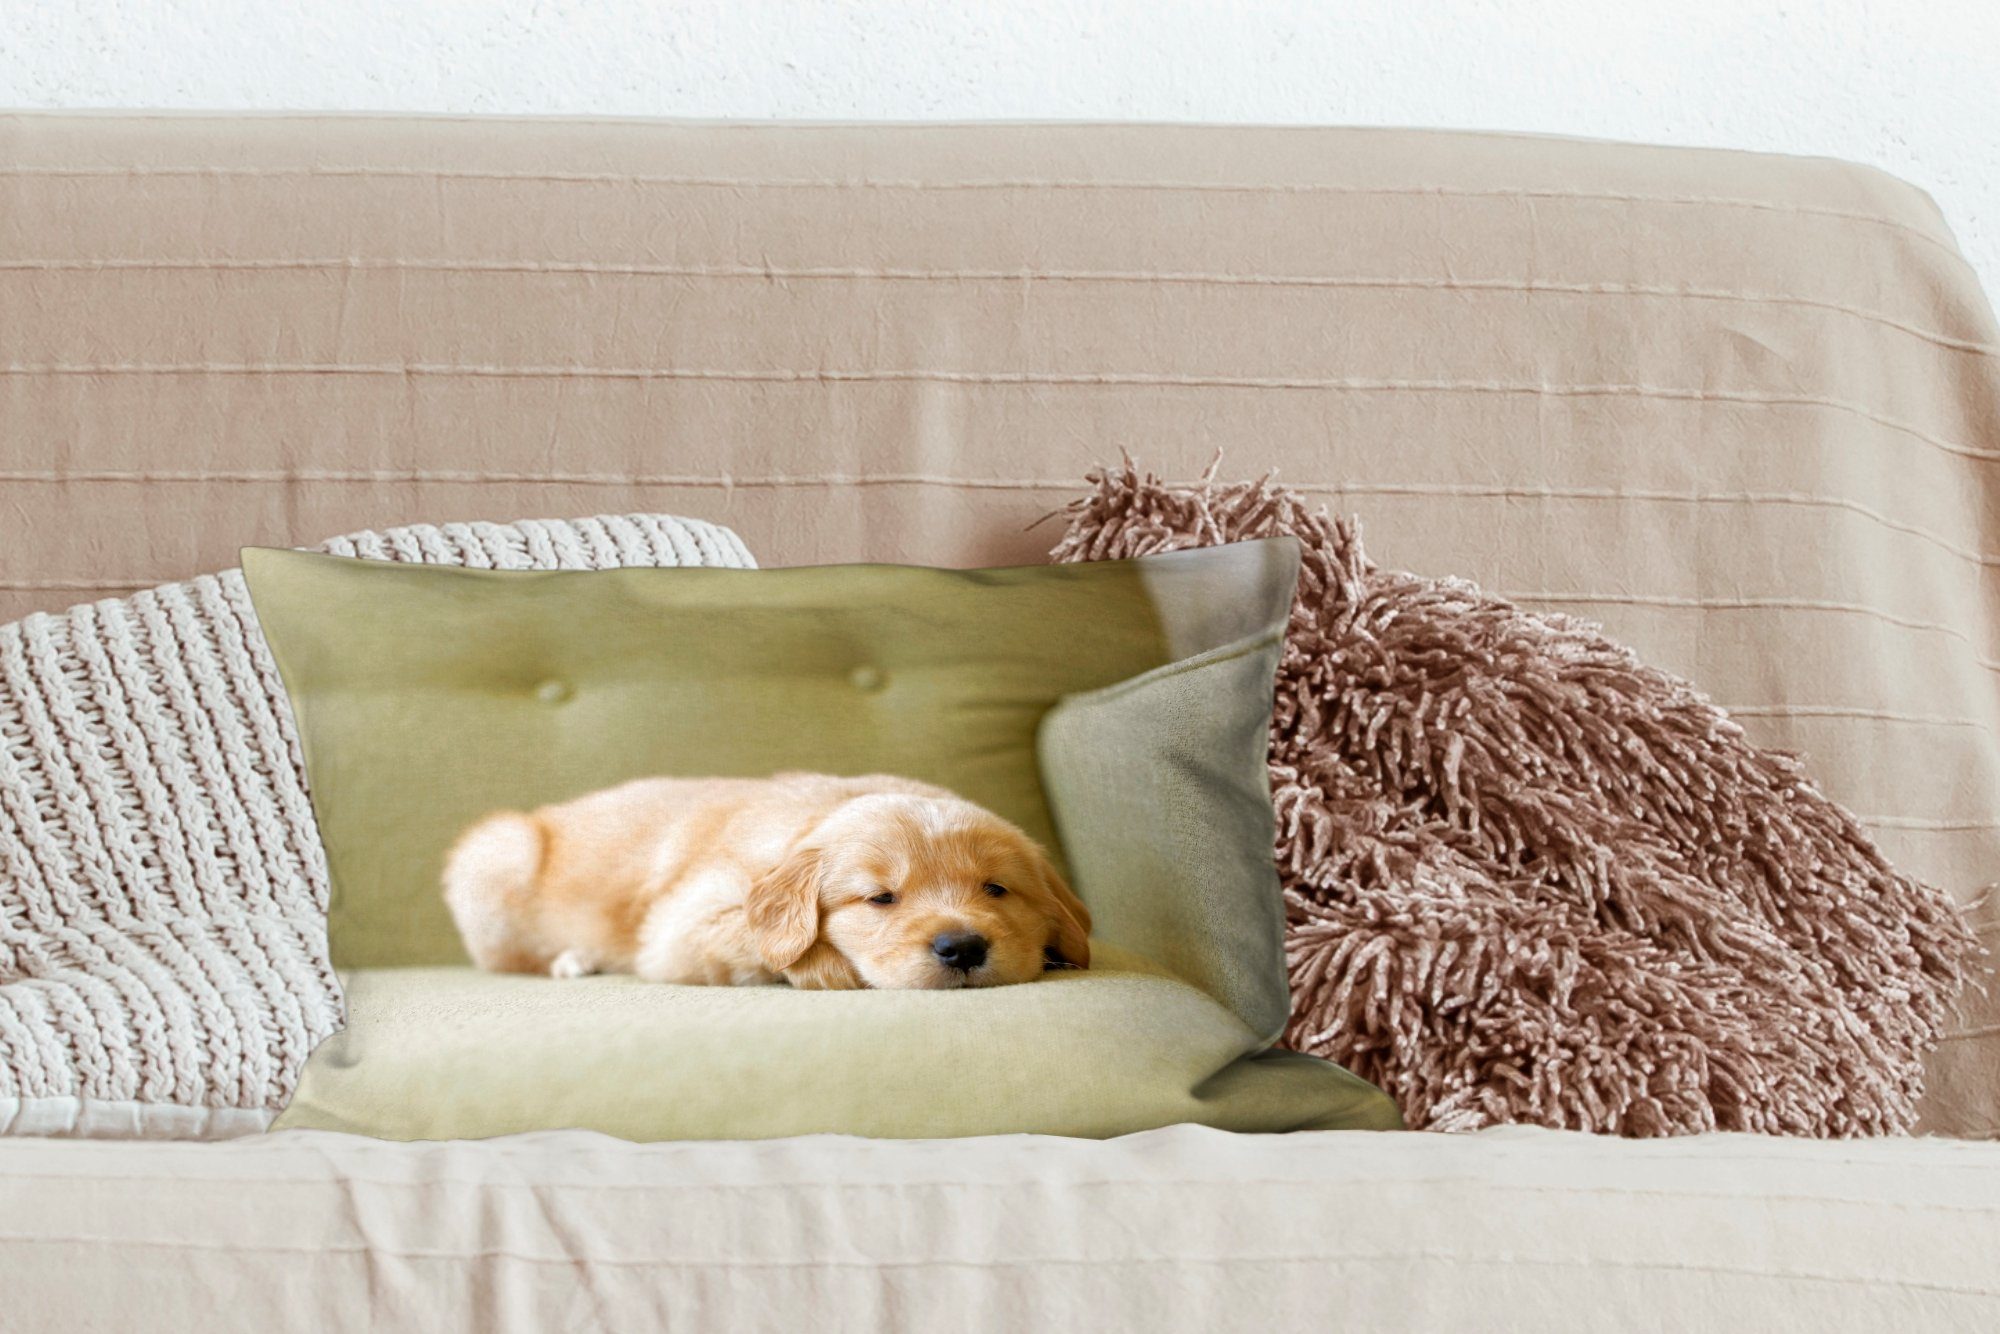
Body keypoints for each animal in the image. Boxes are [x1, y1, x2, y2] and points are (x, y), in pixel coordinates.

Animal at [442, 772, 1096, 992]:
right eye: (880, 898)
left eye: (996, 889)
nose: (961, 948)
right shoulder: (682, 928)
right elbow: (766, 942)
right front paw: (829, 969)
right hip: (497, 852)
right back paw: (571, 961)